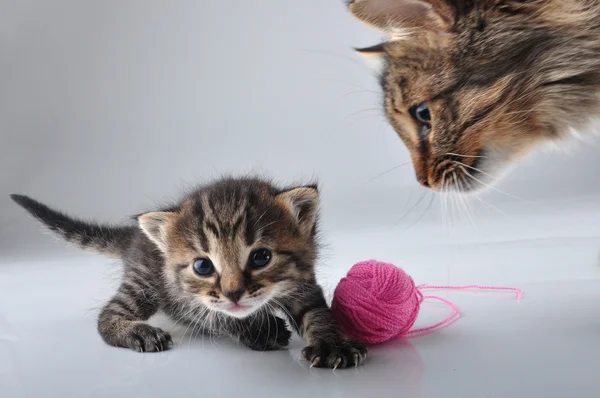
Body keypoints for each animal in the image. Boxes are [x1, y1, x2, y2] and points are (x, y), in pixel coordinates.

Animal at [9, 179, 366, 368]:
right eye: (203, 266)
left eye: (261, 257)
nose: (234, 293)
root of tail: (135, 237)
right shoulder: (185, 300)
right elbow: (217, 316)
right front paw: (259, 330)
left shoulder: (304, 280)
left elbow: (317, 311)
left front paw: (332, 345)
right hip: (143, 282)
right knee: (107, 315)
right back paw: (137, 332)